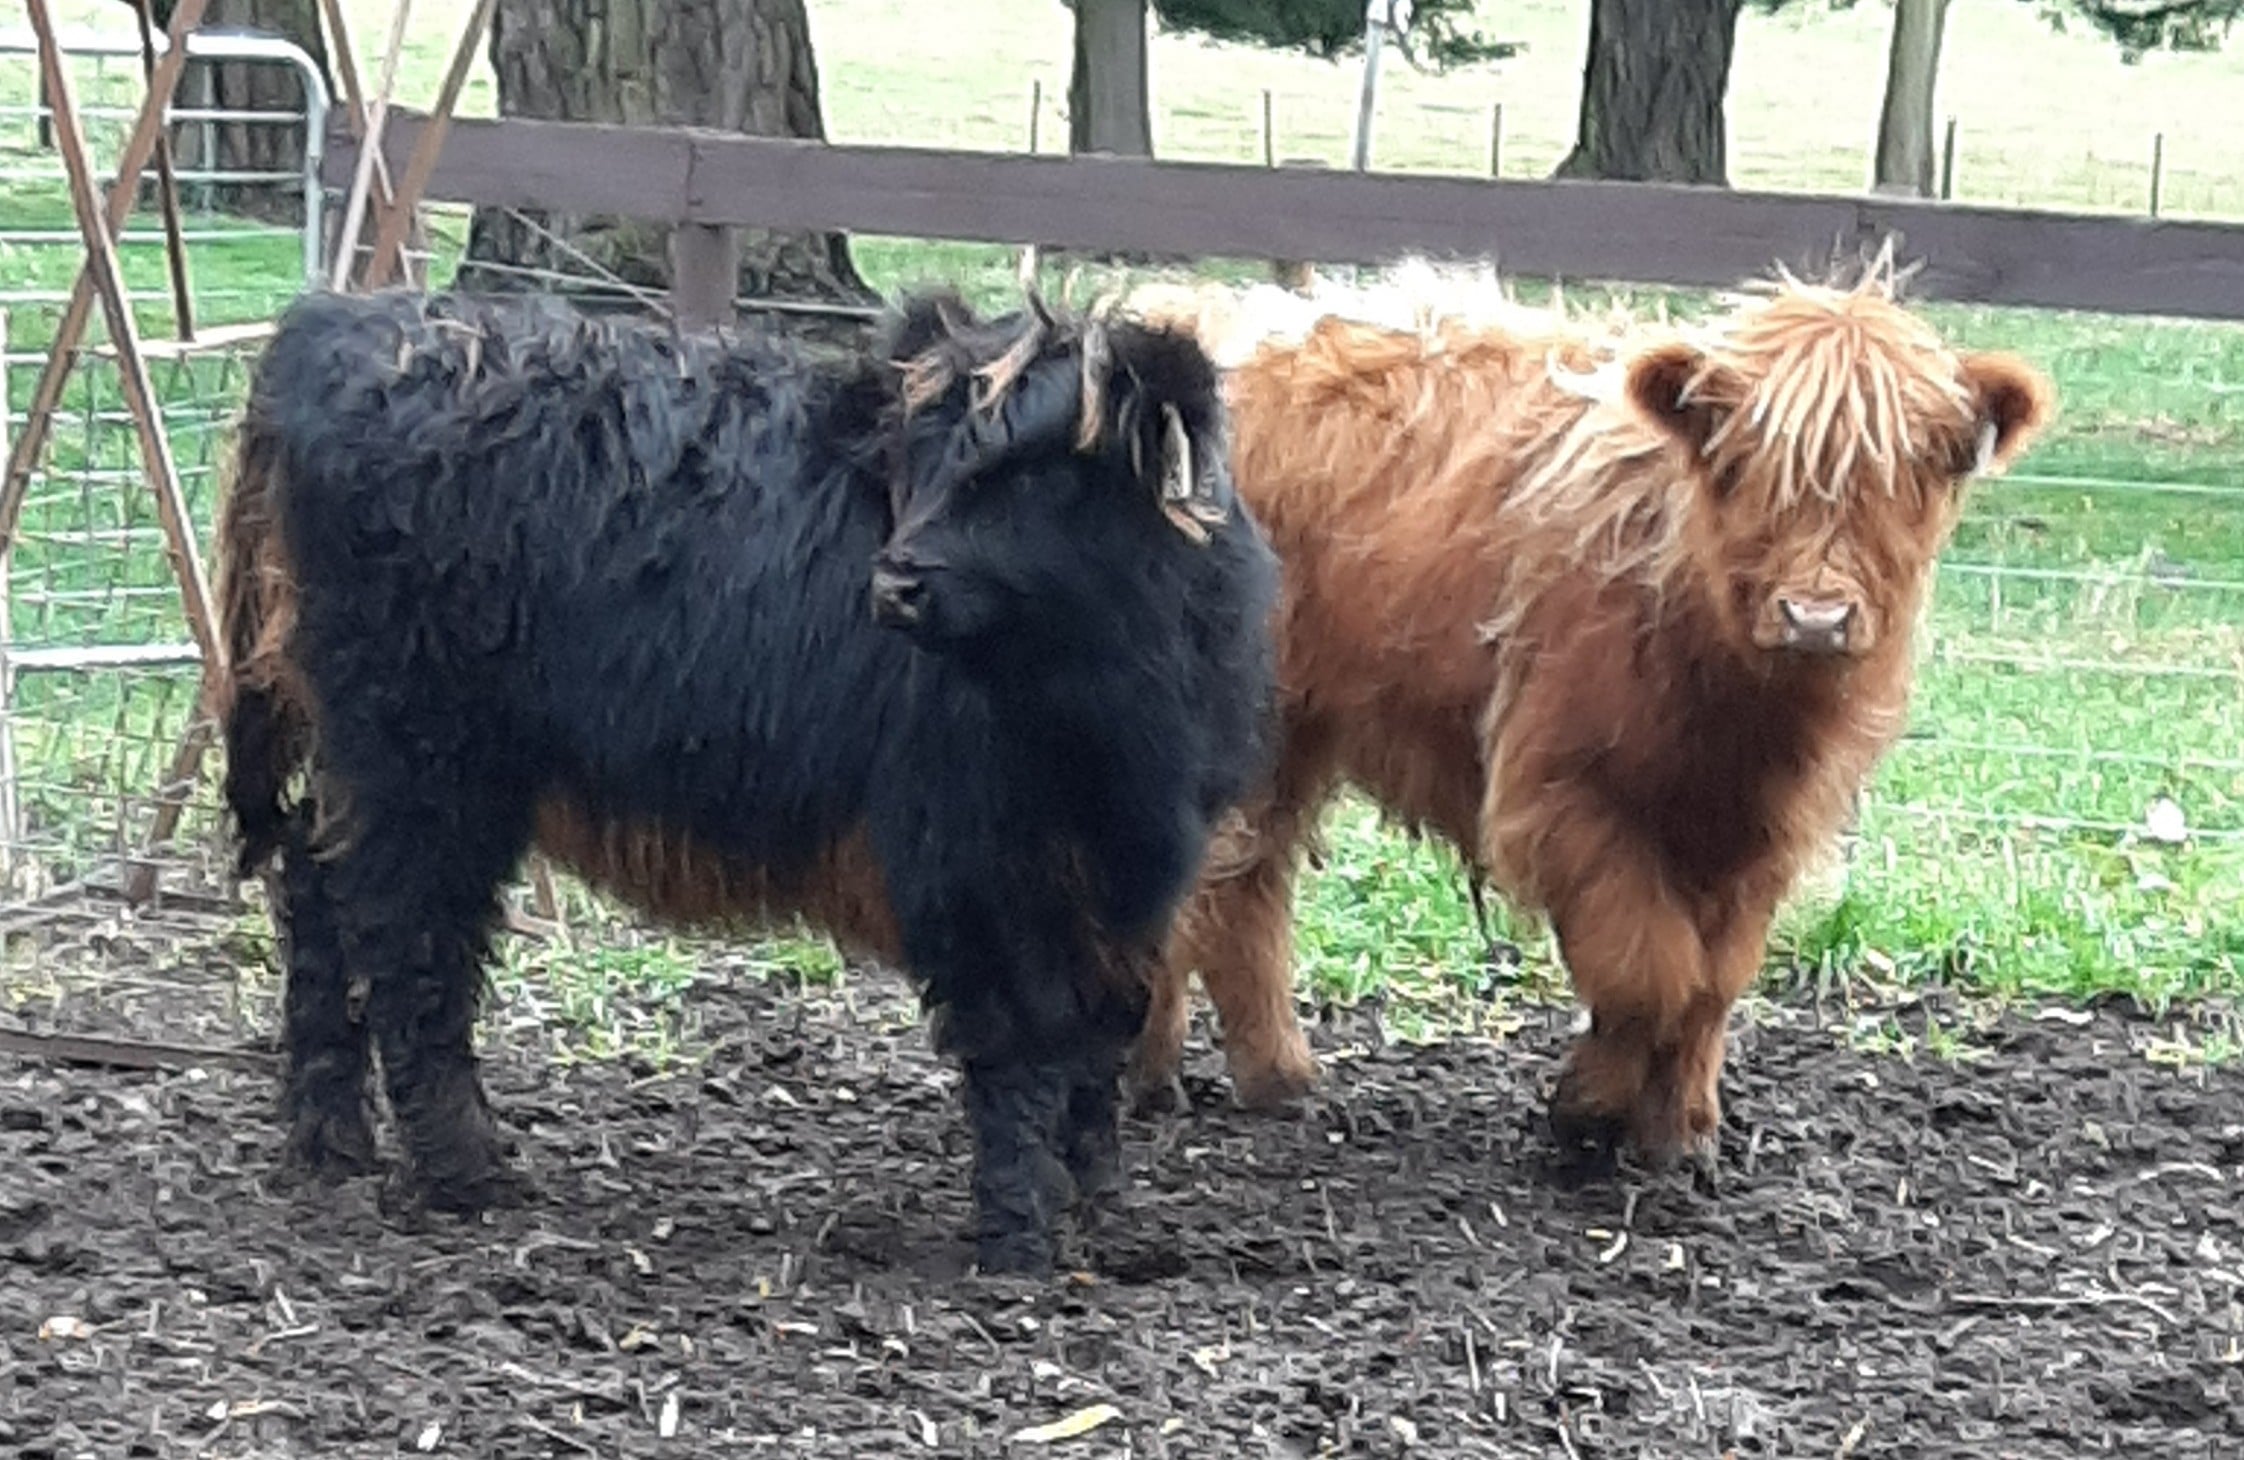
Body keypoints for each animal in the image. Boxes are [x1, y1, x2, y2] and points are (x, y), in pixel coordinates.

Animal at [227, 282, 1292, 1264]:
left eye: (1037, 476)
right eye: (922, 460)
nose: (895, 581)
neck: (1111, 718)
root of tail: (341, 319)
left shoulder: (1139, 873)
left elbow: (1100, 1031)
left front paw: (1100, 1206)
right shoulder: (967, 859)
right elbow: (1019, 1038)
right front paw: (1019, 1232)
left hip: (370, 756)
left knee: (321, 896)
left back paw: (331, 1140)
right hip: (423, 756)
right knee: (411, 942)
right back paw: (465, 1169)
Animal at [1130, 254, 2055, 1166]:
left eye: (1918, 469)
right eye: (1739, 463)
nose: (1817, 618)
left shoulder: (1763, 833)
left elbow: (1713, 981)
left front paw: (1682, 1132)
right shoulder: (1563, 791)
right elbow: (1648, 969)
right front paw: (1590, 1110)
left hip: (1291, 729)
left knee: (1241, 880)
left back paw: (1254, 1077)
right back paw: (1194, 1073)